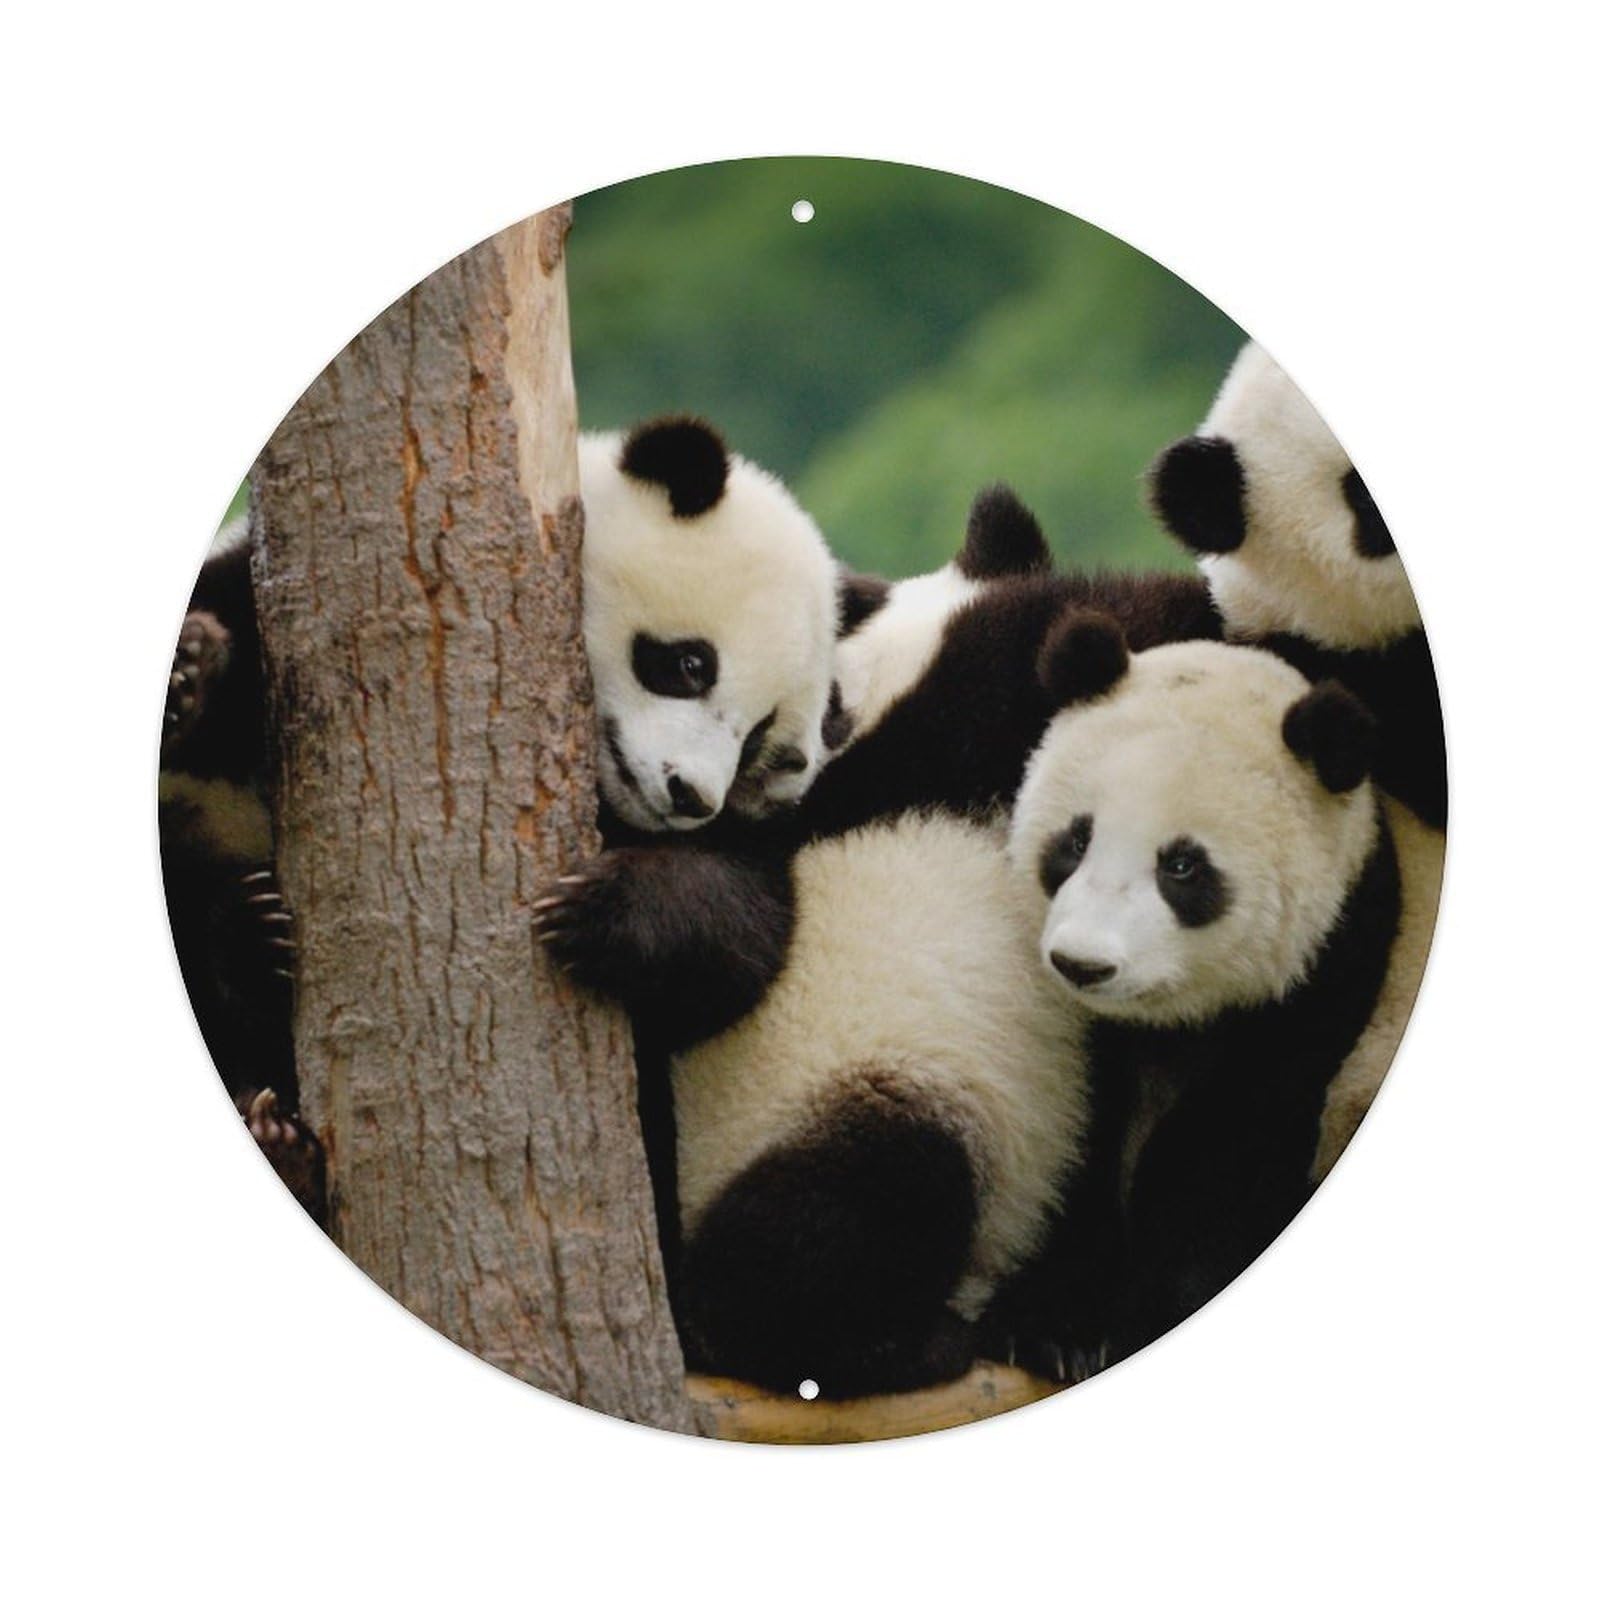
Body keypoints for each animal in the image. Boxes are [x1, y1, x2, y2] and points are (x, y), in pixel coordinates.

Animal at [160, 415, 842, 1218]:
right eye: (690, 665)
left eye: (759, 735)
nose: (689, 797)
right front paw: (191, 678)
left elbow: (740, 942)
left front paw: (594, 910)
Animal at [997, 614, 1400, 1369]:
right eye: (1074, 841)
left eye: (1182, 867)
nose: (1083, 964)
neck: (1170, 1021)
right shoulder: (1083, 1031)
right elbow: (1077, 1129)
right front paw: (1053, 1325)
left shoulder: (1326, 968)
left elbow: (1227, 1156)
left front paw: (1150, 1316)